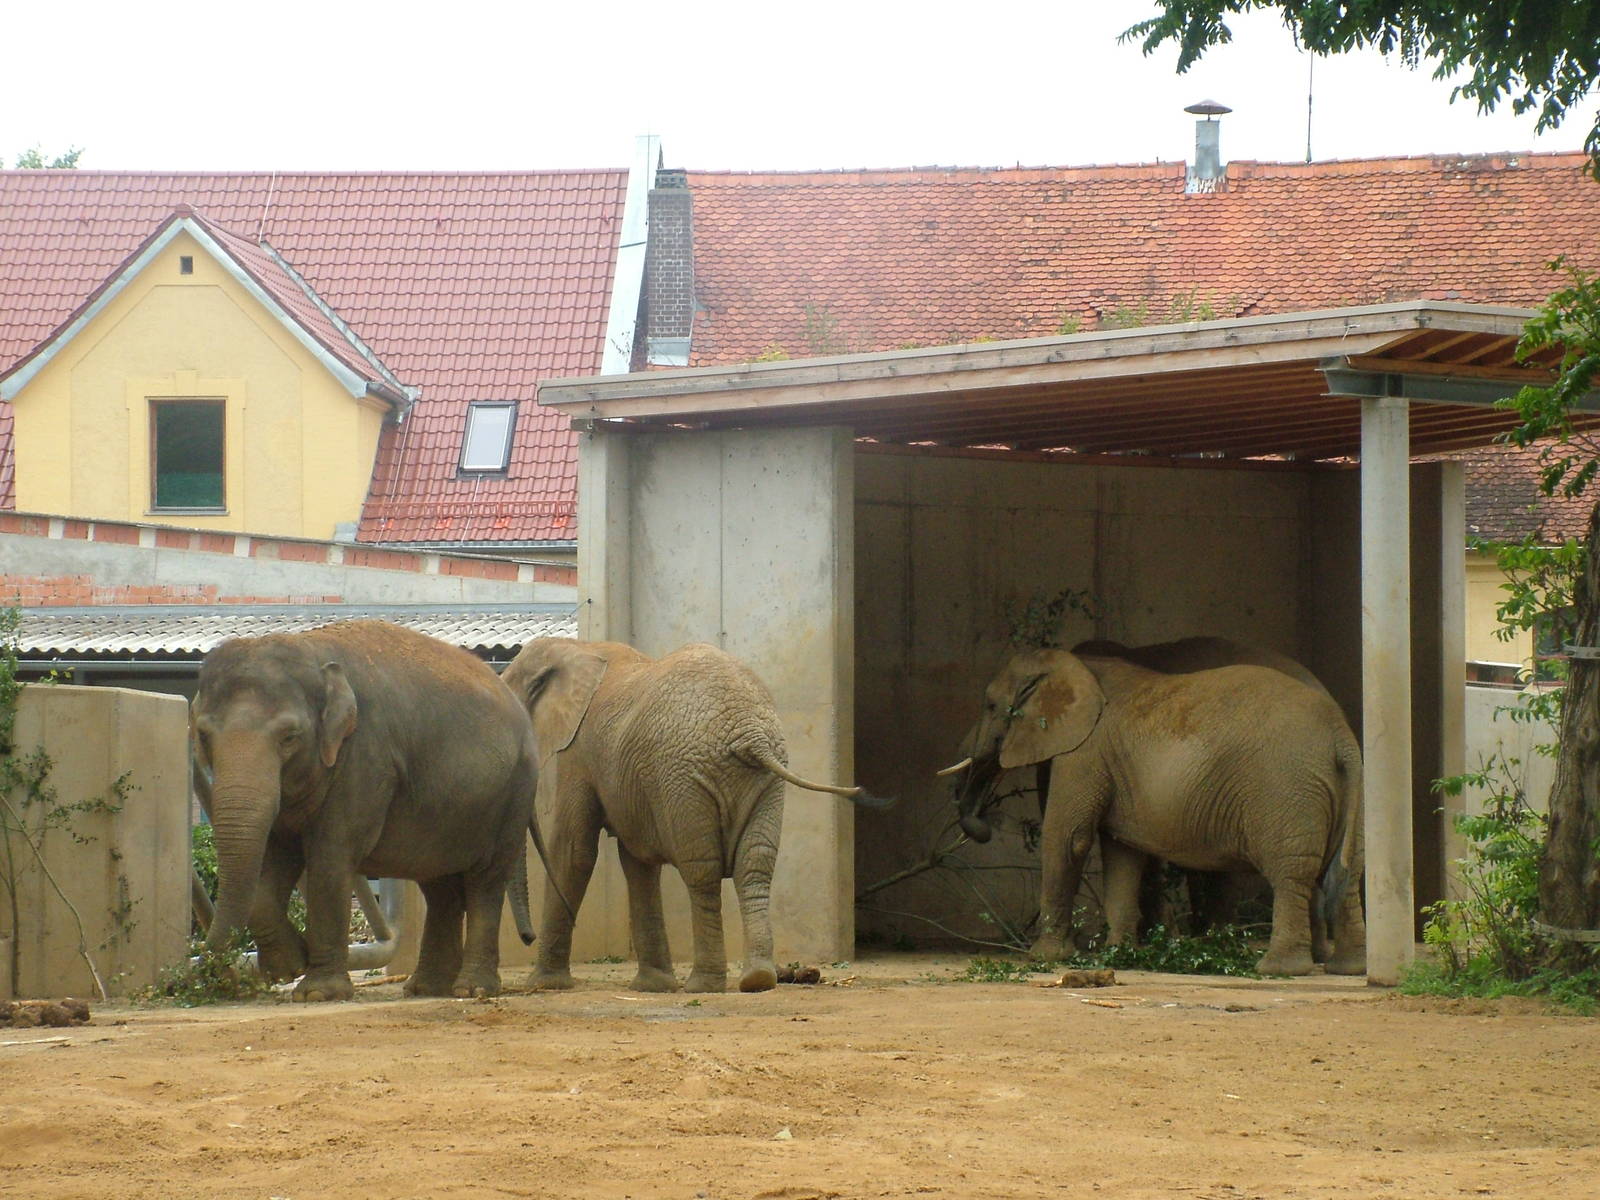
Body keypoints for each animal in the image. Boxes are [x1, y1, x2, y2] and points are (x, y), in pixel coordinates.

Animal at [190, 619, 540, 1002]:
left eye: (289, 736)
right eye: (203, 735)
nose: (213, 971)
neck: (311, 650)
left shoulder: (366, 757)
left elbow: (330, 858)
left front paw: (317, 993)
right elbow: (272, 858)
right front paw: (290, 967)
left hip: (513, 795)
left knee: (485, 881)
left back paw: (471, 989)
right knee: (439, 886)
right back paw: (426, 988)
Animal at [501, 637, 890, 994]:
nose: (526, 937)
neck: (573, 647)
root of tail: (750, 732)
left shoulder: (579, 751)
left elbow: (574, 852)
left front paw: (544, 984)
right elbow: (636, 861)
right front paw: (653, 987)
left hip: (685, 777)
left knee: (701, 870)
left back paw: (703, 985)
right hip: (764, 782)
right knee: (755, 865)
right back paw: (758, 980)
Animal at [940, 648, 1365, 976]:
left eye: (990, 705)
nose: (981, 825)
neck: (1074, 664)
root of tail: (1340, 735)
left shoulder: (1084, 753)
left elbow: (1069, 839)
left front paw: (1044, 958)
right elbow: (1123, 854)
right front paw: (1120, 953)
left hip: (1284, 789)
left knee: (1291, 874)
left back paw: (1278, 970)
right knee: (1346, 872)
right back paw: (1346, 968)